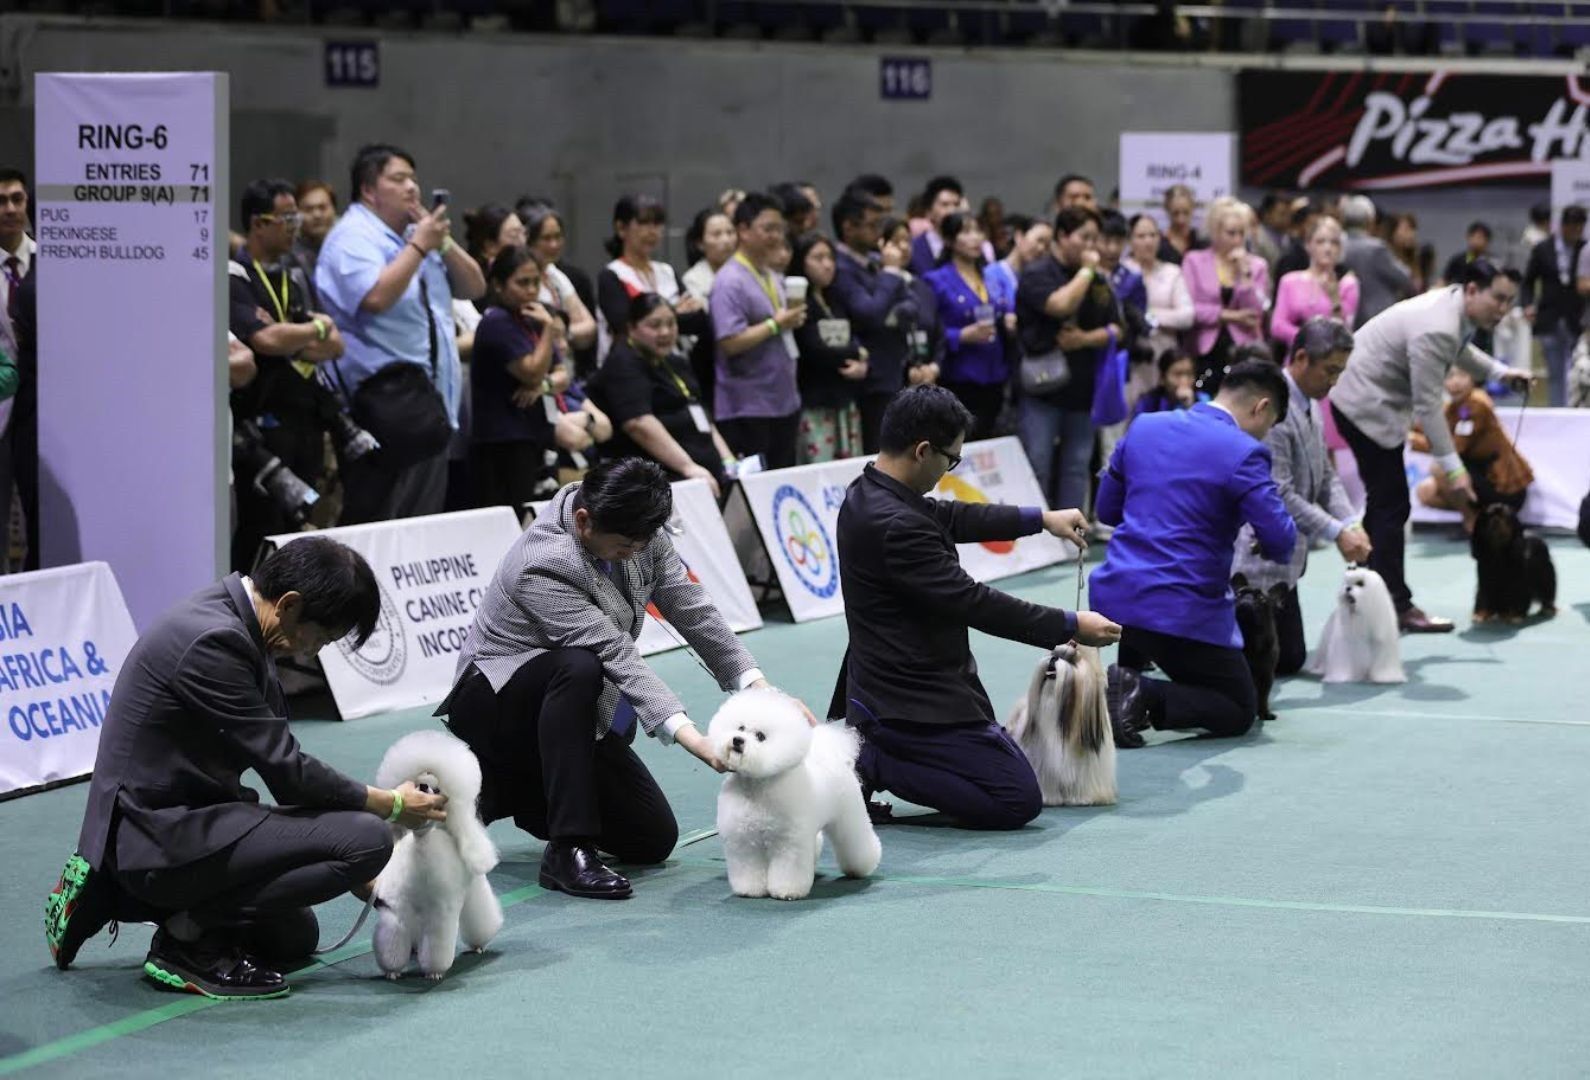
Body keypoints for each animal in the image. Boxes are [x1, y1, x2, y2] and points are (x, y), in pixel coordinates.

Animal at [368, 731, 499, 986]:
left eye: (436, 790)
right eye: (418, 782)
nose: (423, 786)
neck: (421, 846)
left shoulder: (439, 914)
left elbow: (437, 945)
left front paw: (434, 971)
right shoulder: (398, 911)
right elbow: (393, 940)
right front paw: (392, 970)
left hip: (473, 889)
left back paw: (479, 944)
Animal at [709, 687, 884, 897]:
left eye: (760, 736)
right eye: (741, 728)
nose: (737, 740)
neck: (757, 787)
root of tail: (834, 754)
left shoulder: (788, 841)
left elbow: (788, 869)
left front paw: (786, 890)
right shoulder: (743, 840)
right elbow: (748, 867)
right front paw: (749, 889)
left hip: (849, 816)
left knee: (856, 841)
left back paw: (862, 867)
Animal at [1004, 645, 1119, 808]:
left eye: (1071, 660)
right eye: (1053, 653)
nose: (1053, 658)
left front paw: (1084, 798)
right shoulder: (1042, 762)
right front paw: (1049, 798)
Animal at [1233, 578, 1284, 722]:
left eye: (1262, 599)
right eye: (1238, 594)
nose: (1247, 598)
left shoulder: (1266, 675)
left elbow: (1263, 697)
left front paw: (1264, 713)